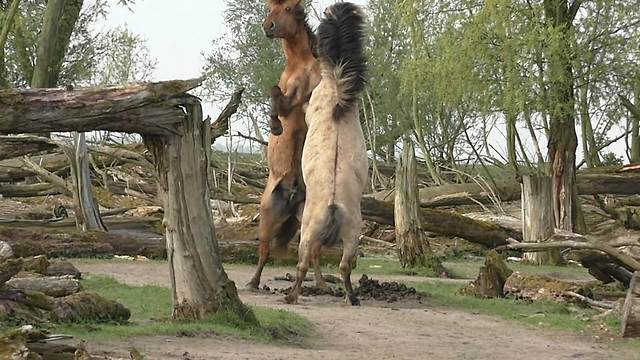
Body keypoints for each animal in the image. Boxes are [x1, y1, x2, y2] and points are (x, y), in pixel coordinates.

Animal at [248, 0, 322, 290]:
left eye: (290, 7)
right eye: (270, 6)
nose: (268, 26)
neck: (300, 66)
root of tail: (292, 196)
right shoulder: (288, 101)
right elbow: (273, 93)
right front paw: (276, 127)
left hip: (306, 221)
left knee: (310, 254)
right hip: (267, 217)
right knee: (264, 251)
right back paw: (253, 282)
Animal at [286, 2, 370, 306]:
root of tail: (333, 206)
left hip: (307, 233)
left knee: (303, 264)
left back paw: (291, 296)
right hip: (353, 236)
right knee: (345, 266)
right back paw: (352, 298)